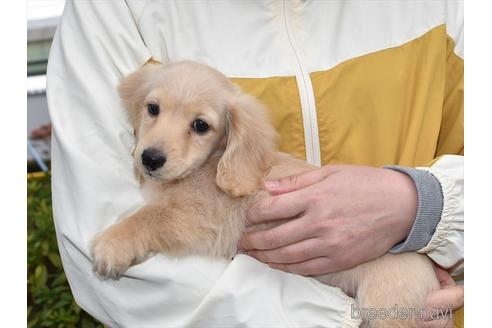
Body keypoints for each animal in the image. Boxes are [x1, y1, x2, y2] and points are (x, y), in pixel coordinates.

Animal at [91, 60, 438, 326]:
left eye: (201, 125)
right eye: (153, 109)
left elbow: (150, 216)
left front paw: (113, 243)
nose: (150, 159)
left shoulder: (201, 221)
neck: (211, 165)